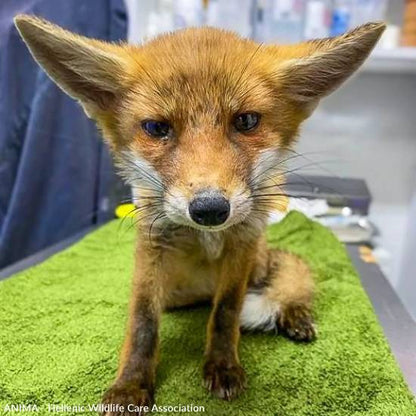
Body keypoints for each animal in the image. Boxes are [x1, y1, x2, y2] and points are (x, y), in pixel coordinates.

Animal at [14, 14, 386, 414]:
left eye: (246, 121)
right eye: (157, 128)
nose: (210, 209)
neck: (204, 238)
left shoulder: (241, 245)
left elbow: (226, 313)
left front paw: (222, 365)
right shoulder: (152, 248)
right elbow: (143, 322)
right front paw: (131, 384)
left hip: (260, 260)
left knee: (284, 279)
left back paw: (295, 314)